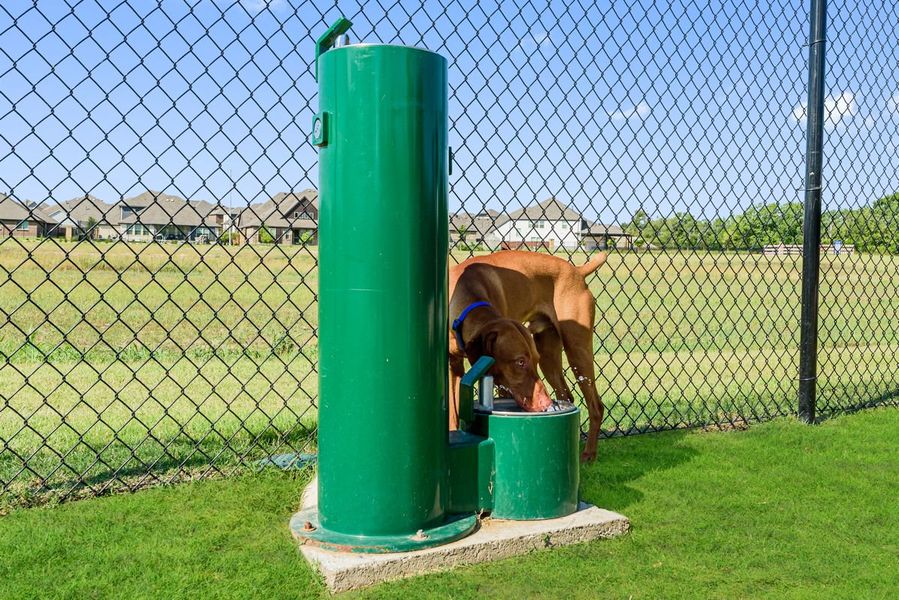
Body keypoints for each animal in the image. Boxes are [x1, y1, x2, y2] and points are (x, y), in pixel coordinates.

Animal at [450, 251, 612, 462]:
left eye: (532, 359)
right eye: (520, 362)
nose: (545, 403)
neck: (469, 290)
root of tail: (577, 270)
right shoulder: (453, 366)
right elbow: (452, 415)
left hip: (577, 349)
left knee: (596, 405)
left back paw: (589, 453)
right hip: (548, 353)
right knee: (566, 395)